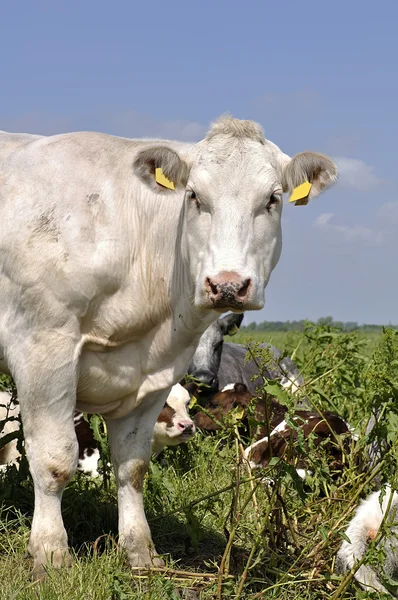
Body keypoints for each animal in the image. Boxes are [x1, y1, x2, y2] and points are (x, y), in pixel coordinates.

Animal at [0, 116, 338, 576]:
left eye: (272, 199)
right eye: (194, 196)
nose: (227, 285)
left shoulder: (154, 375)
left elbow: (133, 466)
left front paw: (140, 553)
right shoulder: (43, 346)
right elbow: (54, 461)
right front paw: (51, 555)